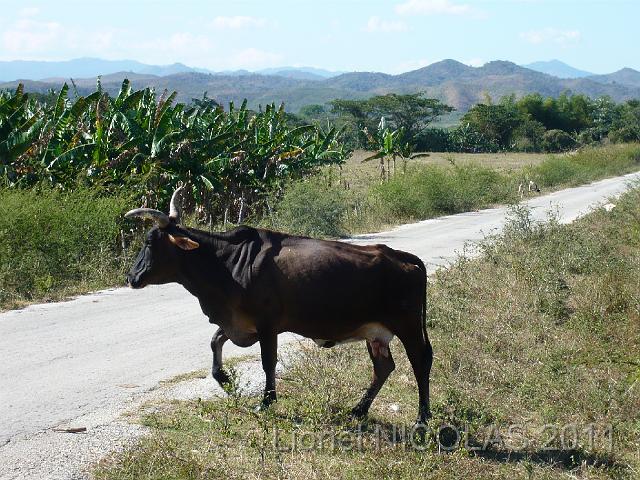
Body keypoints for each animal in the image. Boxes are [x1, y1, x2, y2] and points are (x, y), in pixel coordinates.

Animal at [124, 187, 433, 423]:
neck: (228, 263)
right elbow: (215, 342)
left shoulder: (267, 324)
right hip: (375, 332)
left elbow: (267, 361)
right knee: (383, 367)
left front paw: (266, 401)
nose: (131, 277)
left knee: (420, 360)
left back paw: (422, 418)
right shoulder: (239, 323)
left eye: (149, 242)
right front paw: (225, 380)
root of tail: (402, 256)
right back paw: (358, 410)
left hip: (407, 325)